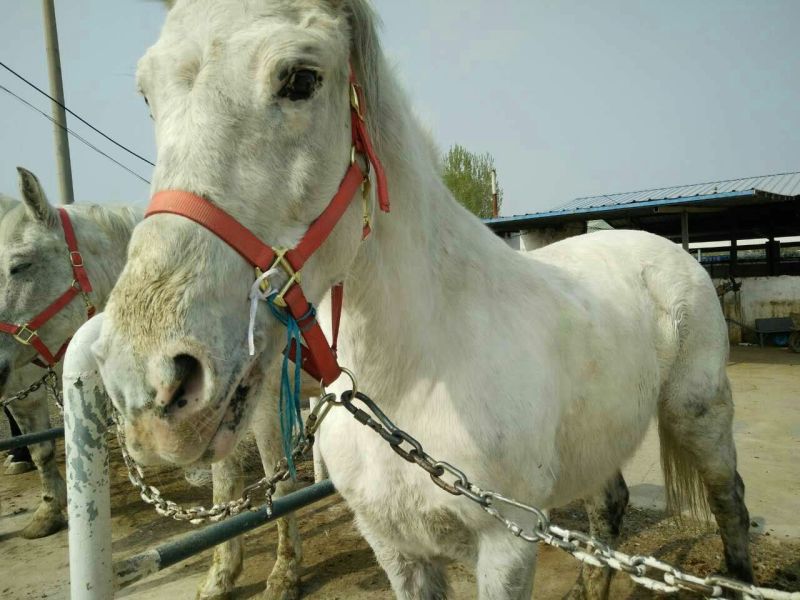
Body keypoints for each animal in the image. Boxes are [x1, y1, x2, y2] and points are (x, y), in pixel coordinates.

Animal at [0, 168, 297, 599]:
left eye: (20, 265)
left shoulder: (268, 405)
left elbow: (282, 481)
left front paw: (285, 574)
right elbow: (225, 487)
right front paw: (221, 575)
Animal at [93, 1, 754, 598]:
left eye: (301, 78)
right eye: (147, 94)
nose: (149, 382)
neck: (419, 370)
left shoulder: (509, 546)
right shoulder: (394, 547)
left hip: (699, 415)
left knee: (732, 504)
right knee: (608, 506)